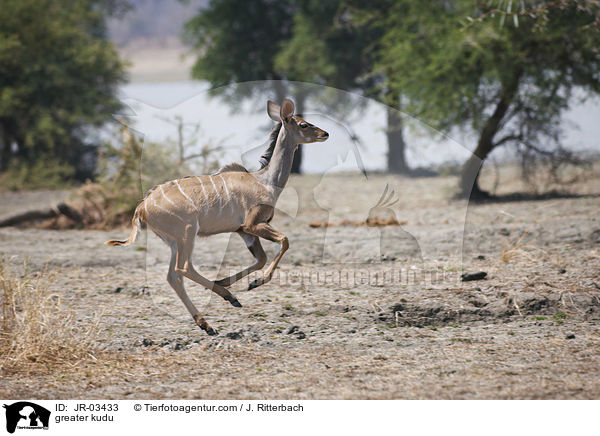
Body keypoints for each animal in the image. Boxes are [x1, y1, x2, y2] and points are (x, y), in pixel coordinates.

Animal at [104, 99, 328, 336]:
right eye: (304, 124)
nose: (325, 133)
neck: (265, 181)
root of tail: (142, 208)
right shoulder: (253, 225)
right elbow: (283, 242)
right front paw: (254, 282)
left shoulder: (243, 231)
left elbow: (260, 259)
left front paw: (234, 281)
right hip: (187, 233)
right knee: (183, 268)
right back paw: (227, 299)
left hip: (174, 241)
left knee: (173, 276)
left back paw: (206, 323)